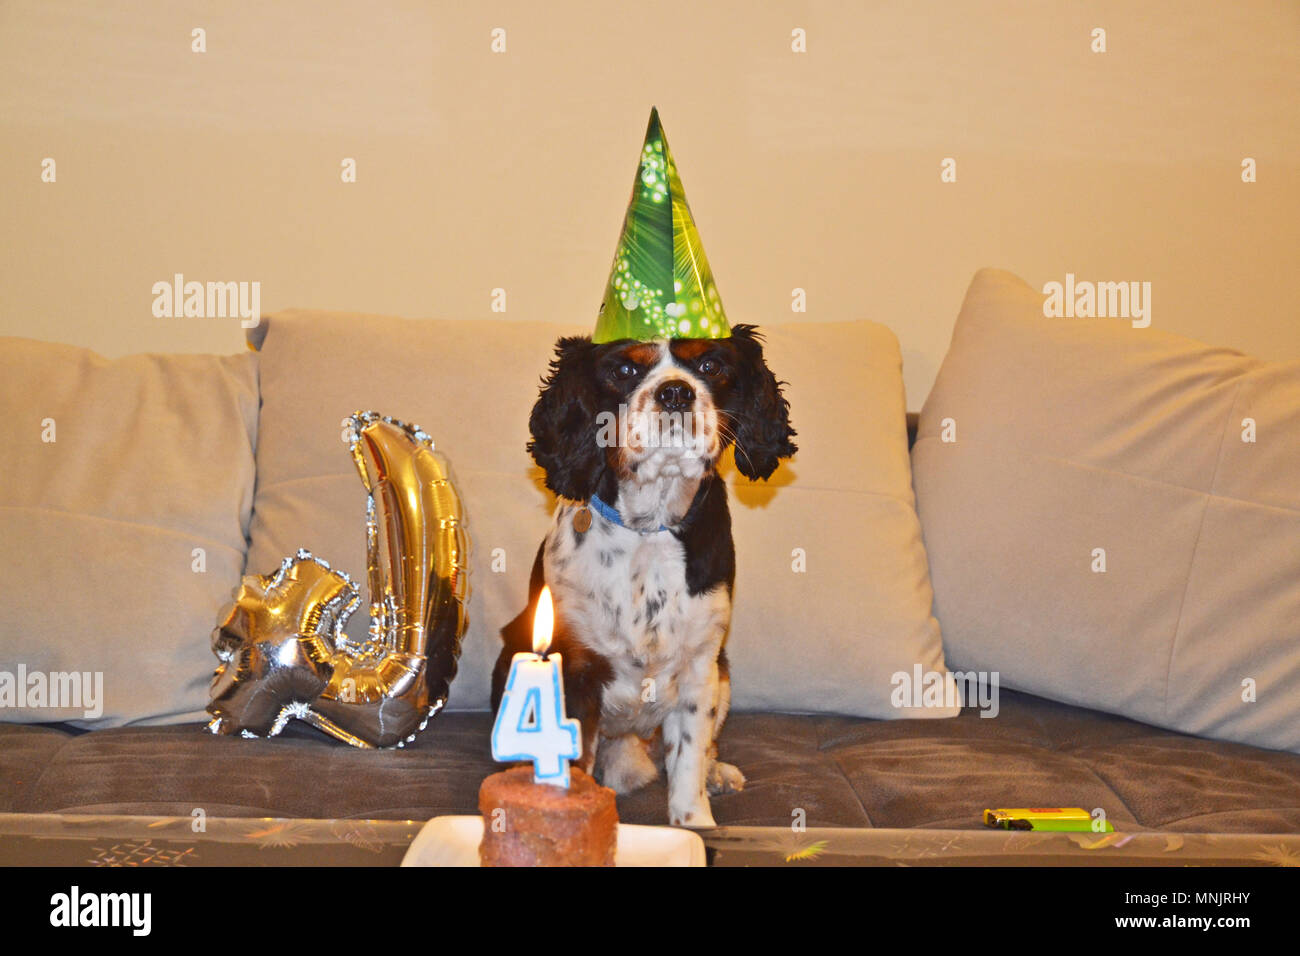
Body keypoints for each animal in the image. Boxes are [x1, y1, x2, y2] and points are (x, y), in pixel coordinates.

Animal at [488, 325, 790, 827]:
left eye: (710, 365)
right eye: (625, 369)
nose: (676, 392)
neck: (650, 528)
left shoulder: (700, 667)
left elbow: (687, 762)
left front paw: (695, 824)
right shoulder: (574, 666)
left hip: (723, 674)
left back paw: (717, 772)